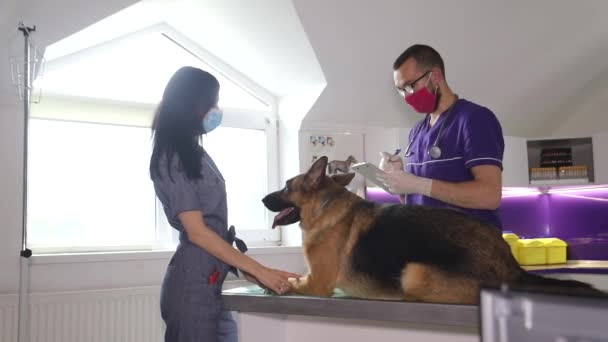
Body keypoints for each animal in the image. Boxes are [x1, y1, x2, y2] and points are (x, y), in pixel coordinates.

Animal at [260, 156, 604, 304]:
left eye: (287, 186)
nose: (262, 198)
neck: (326, 207)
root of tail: (511, 266)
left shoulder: (318, 284)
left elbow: (293, 284)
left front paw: (276, 285)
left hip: (413, 272)